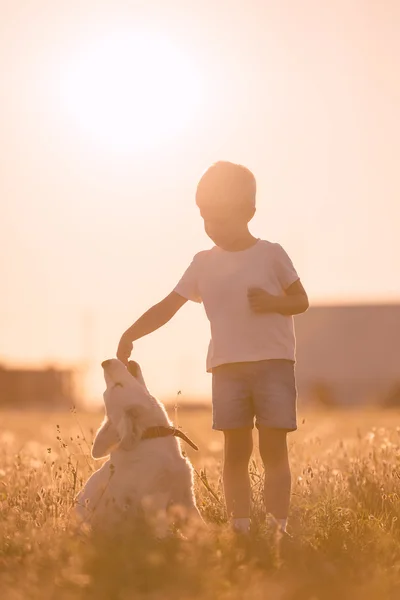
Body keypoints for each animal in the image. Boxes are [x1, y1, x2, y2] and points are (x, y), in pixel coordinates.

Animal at [75, 356, 203, 536]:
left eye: (116, 386)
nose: (105, 362)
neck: (152, 434)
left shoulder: (187, 496)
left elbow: (200, 523)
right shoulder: (155, 501)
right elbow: (162, 531)